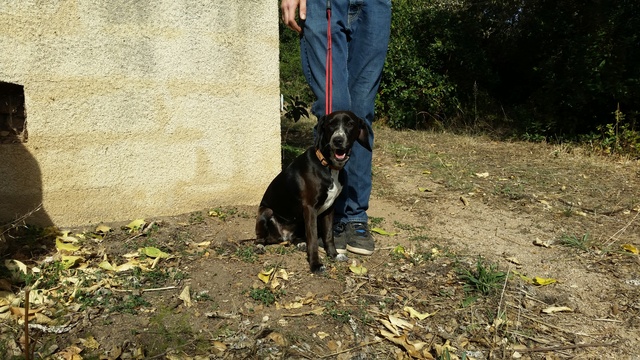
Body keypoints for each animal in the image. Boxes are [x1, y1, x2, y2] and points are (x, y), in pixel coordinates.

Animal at [255, 110, 370, 272]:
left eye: (350, 124)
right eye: (331, 124)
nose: (338, 140)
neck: (328, 166)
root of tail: (282, 237)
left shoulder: (329, 208)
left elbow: (328, 235)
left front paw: (334, 255)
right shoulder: (310, 208)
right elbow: (314, 239)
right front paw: (315, 264)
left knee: (295, 238)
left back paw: (300, 243)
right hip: (266, 211)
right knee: (260, 238)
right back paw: (260, 245)